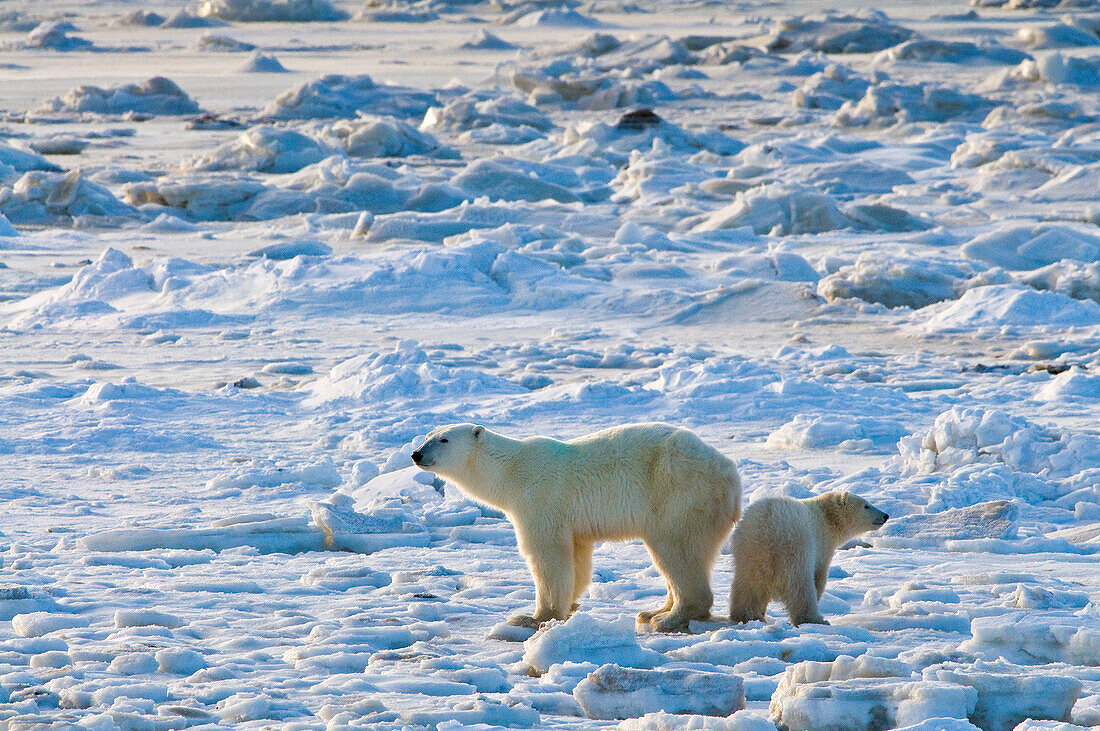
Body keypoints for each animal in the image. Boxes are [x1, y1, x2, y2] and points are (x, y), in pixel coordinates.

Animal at [411, 424, 739, 628]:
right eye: (426, 435)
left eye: (444, 440)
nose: (416, 454)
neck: (510, 471)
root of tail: (730, 477)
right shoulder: (570, 521)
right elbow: (577, 556)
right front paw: (568, 606)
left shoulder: (540, 498)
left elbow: (547, 554)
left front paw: (534, 617)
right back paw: (653, 611)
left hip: (678, 494)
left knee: (675, 549)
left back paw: (669, 618)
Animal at [726, 490, 888, 619]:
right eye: (866, 505)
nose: (885, 515)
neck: (826, 516)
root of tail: (767, 528)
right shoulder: (821, 544)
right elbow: (819, 576)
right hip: (795, 548)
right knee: (800, 586)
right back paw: (813, 618)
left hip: (748, 552)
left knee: (747, 586)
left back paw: (744, 615)